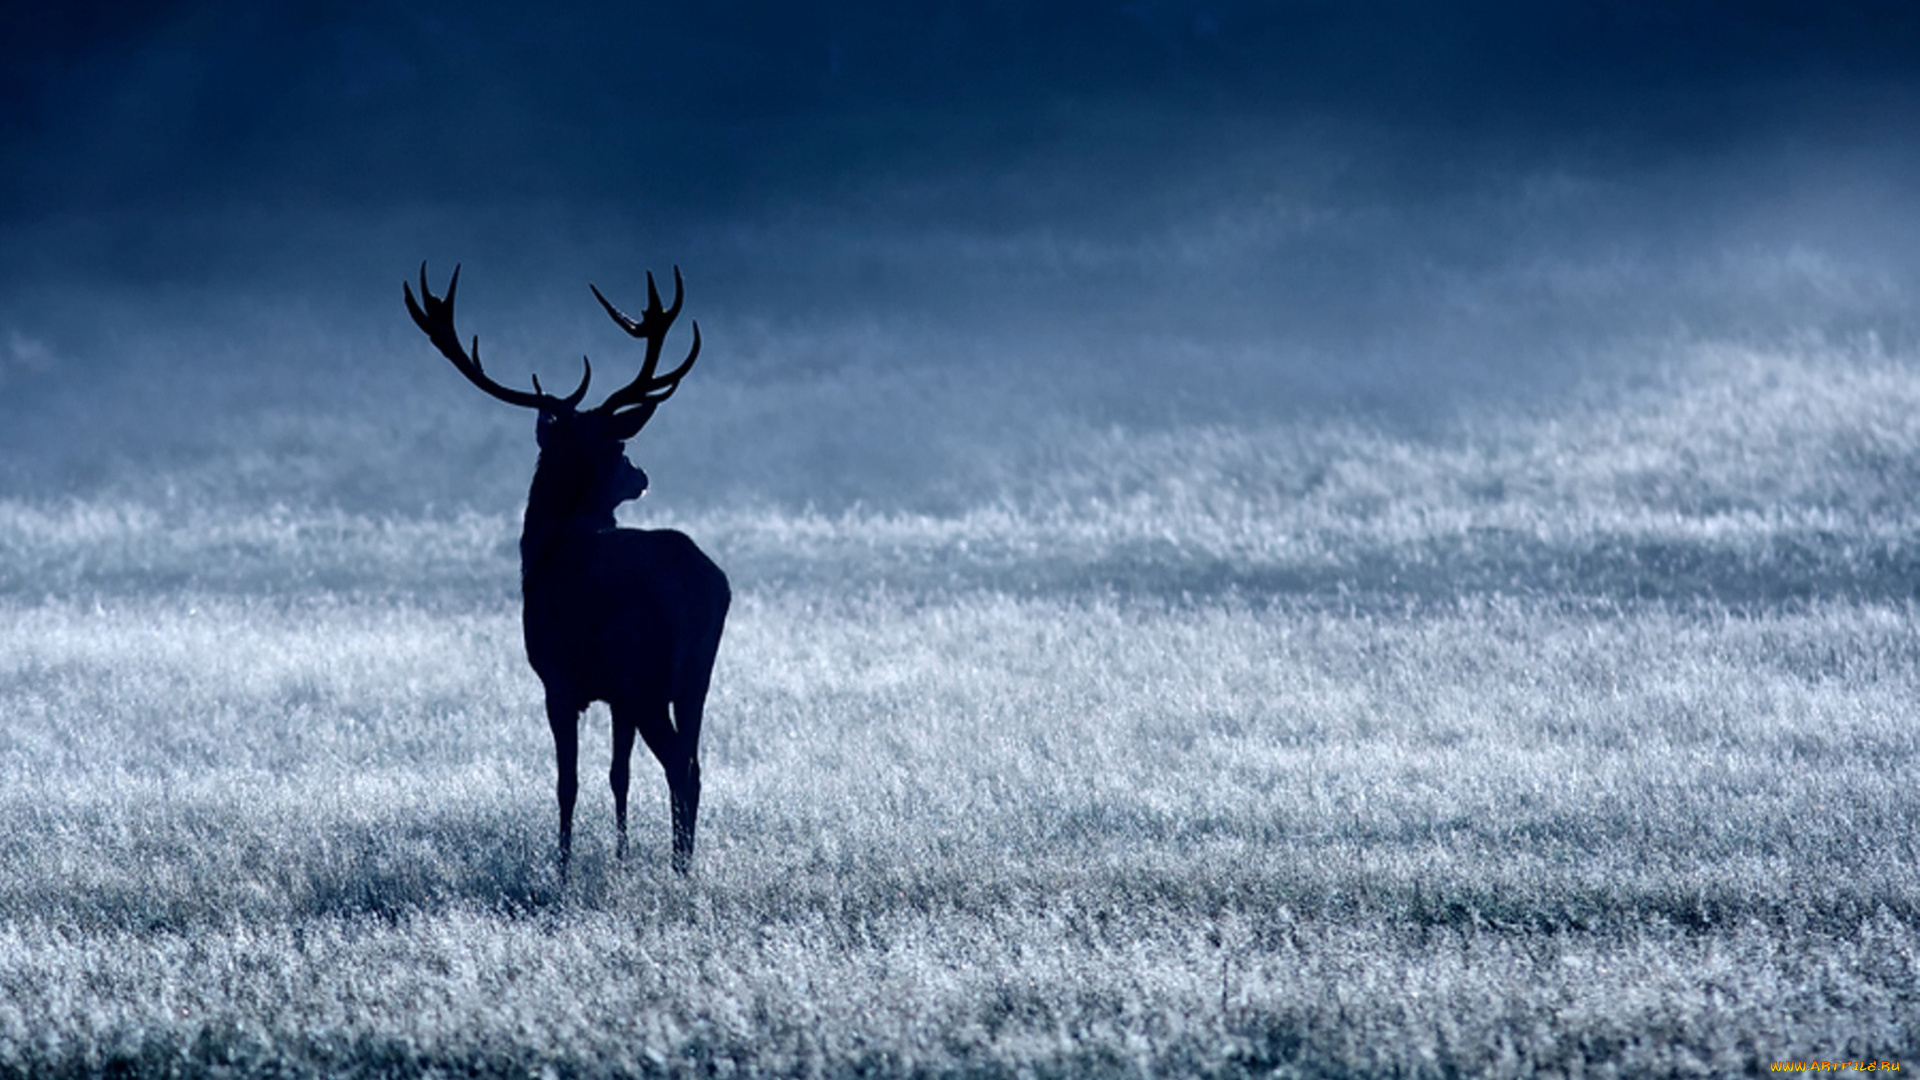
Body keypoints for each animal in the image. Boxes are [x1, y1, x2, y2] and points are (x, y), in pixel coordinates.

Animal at [403, 261, 725, 876]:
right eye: (619, 448)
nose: (641, 475)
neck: (545, 550)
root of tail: (707, 584)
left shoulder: (558, 679)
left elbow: (567, 782)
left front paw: (563, 867)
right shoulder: (615, 695)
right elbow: (619, 775)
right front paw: (620, 855)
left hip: (646, 673)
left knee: (679, 764)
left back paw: (680, 868)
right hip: (696, 674)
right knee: (695, 763)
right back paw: (684, 860)